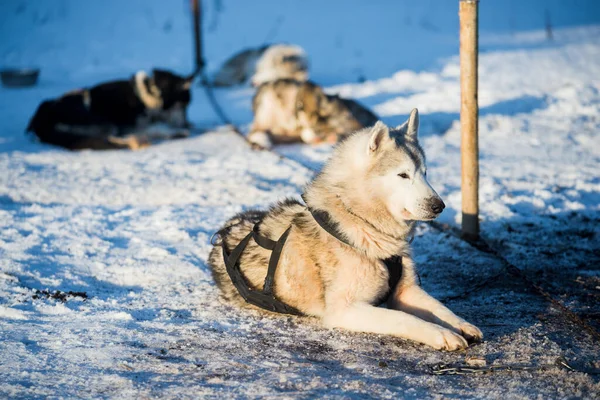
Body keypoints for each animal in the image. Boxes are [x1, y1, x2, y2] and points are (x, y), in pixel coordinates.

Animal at [27, 69, 192, 150]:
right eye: (183, 105)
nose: (187, 124)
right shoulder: (128, 125)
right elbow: (158, 127)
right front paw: (178, 131)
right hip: (101, 120)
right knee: (109, 138)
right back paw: (135, 142)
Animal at [210, 110, 482, 350]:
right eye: (403, 175)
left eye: (425, 173)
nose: (439, 206)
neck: (362, 224)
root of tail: (225, 229)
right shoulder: (345, 310)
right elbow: (404, 318)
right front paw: (442, 335)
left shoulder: (406, 291)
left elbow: (440, 308)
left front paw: (461, 324)